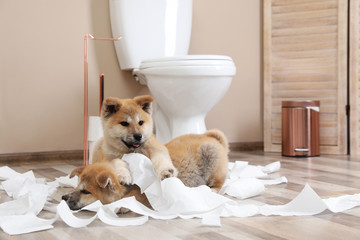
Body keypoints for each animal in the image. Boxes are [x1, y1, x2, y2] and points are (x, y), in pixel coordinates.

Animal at [62, 129, 228, 210]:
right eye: (77, 187)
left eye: (86, 191)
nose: (63, 198)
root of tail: (211, 137)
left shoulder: (146, 192)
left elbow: (135, 196)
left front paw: (124, 205)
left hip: (210, 156)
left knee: (219, 182)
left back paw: (212, 190)